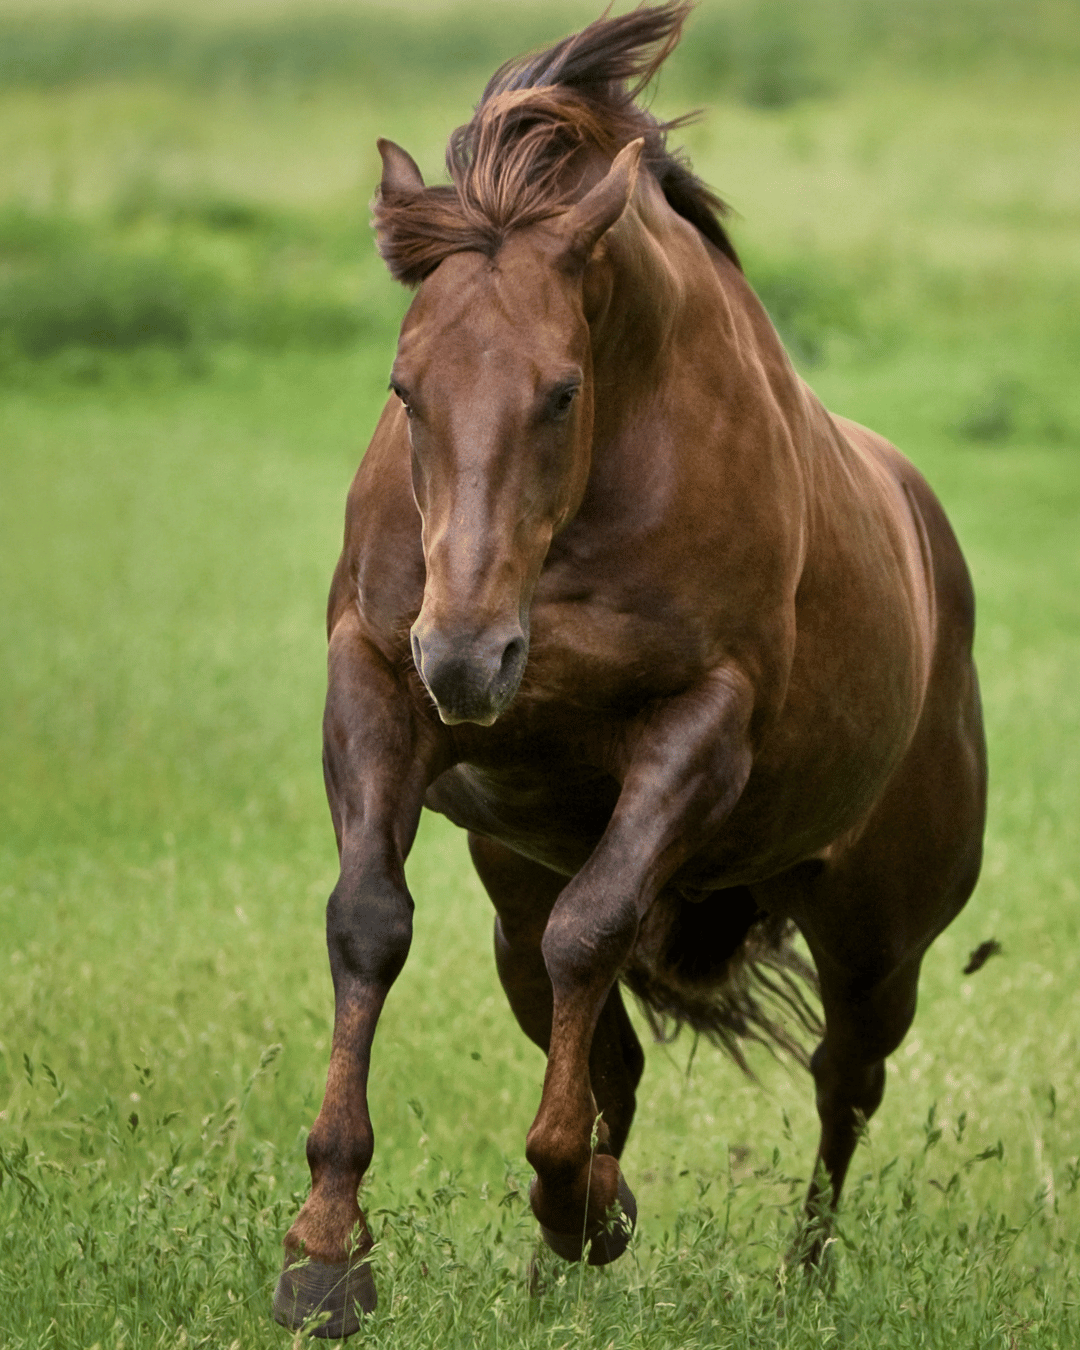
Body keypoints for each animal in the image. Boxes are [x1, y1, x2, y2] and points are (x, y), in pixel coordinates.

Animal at [273, 3, 987, 1336]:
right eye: (405, 387)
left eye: (561, 392)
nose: (471, 661)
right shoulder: (376, 682)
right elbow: (370, 925)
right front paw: (325, 1256)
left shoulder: (701, 721)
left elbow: (593, 934)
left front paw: (574, 1203)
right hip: (512, 884)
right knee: (606, 1041)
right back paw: (560, 1264)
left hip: (880, 938)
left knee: (842, 1081)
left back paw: (794, 1271)